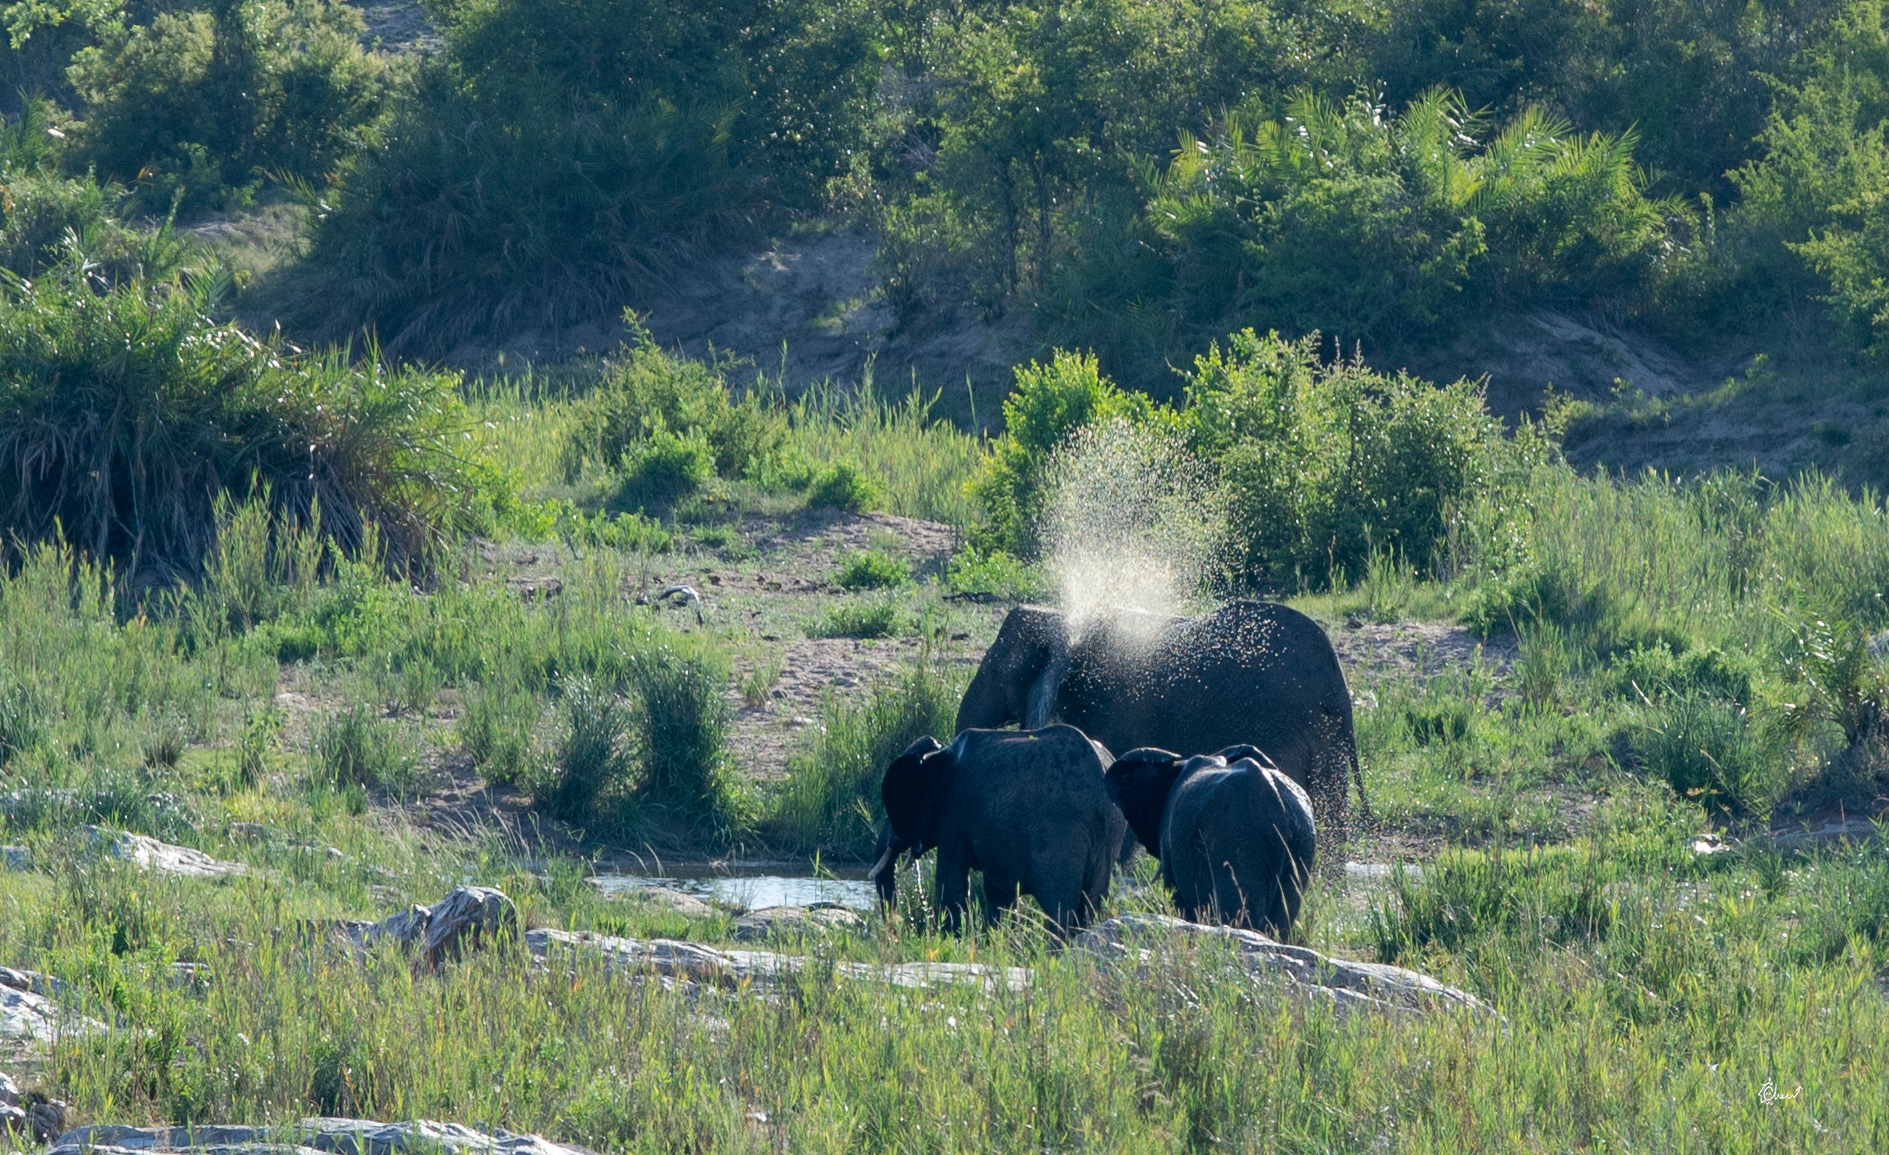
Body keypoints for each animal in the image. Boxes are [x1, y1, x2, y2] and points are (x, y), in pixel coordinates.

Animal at [868, 725, 1118, 933]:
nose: (895, 930)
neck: (938, 756)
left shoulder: (953, 813)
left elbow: (950, 882)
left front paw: (951, 937)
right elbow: (998, 892)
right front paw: (998, 939)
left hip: (1062, 832)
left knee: (1060, 905)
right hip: (1109, 832)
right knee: (1092, 902)